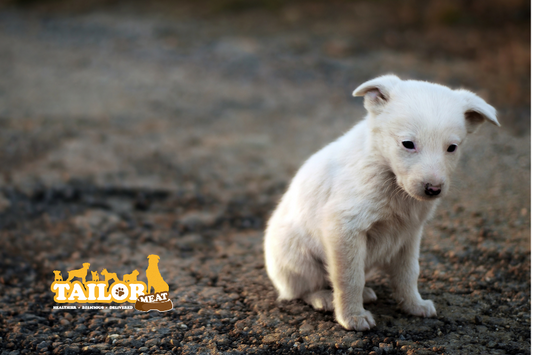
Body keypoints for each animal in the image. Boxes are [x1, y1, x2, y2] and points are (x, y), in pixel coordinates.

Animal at [264, 75, 498, 330]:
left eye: (452, 148)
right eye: (408, 144)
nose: (433, 190)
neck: (389, 177)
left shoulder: (409, 234)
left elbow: (408, 273)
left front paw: (414, 305)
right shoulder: (344, 228)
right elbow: (349, 278)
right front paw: (352, 317)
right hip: (298, 258)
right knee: (303, 289)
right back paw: (324, 298)